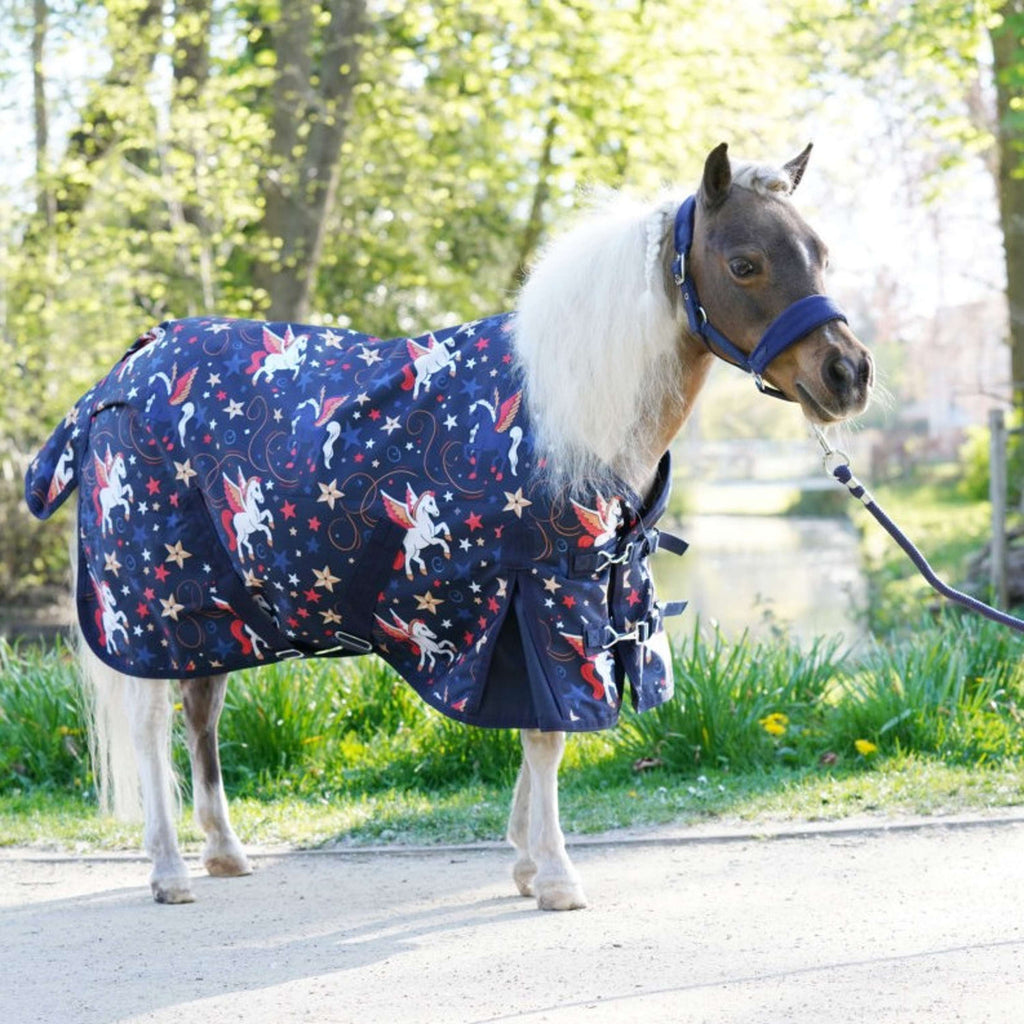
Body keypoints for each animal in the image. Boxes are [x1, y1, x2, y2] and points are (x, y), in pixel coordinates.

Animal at [25, 142, 872, 911]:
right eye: (744, 264)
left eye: (822, 253)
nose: (848, 375)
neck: (562, 410)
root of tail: (121, 376)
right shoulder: (546, 600)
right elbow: (549, 735)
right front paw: (555, 877)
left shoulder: (550, 606)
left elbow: (533, 736)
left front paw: (526, 862)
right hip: (150, 606)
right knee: (149, 725)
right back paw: (169, 872)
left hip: (212, 611)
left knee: (202, 713)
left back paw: (224, 853)